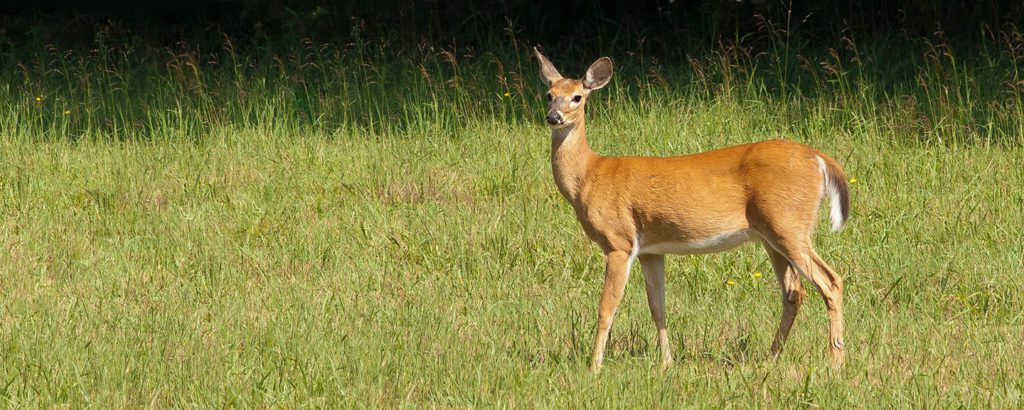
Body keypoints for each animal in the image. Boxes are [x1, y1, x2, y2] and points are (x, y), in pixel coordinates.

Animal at [532, 46, 851, 373]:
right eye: (549, 94)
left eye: (577, 97)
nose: (554, 117)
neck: (589, 176)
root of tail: (820, 159)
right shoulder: (650, 250)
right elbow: (657, 307)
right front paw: (667, 363)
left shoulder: (618, 241)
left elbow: (607, 307)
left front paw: (594, 367)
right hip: (771, 234)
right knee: (793, 291)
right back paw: (771, 357)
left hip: (789, 224)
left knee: (830, 282)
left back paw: (836, 362)